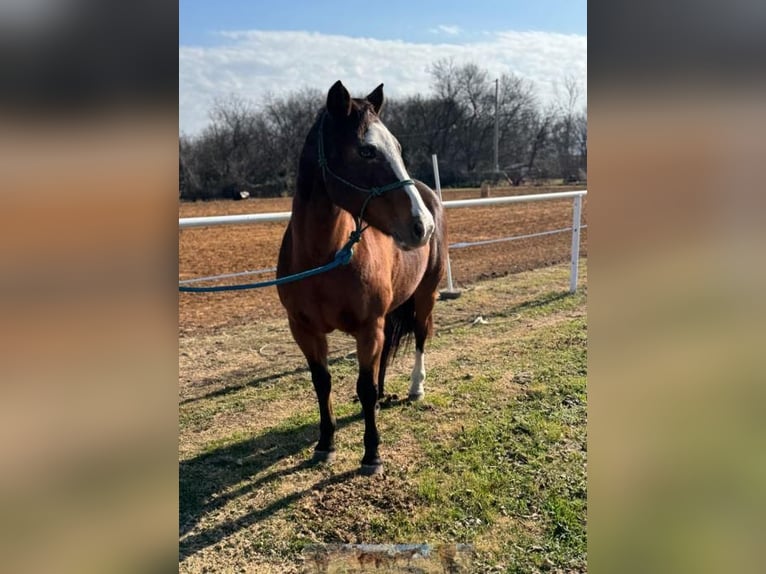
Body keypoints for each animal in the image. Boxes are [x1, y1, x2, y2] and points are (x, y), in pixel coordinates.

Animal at [276, 81, 448, 476]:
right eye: (367, 150)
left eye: (397, 148)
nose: (422, 226)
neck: (324, 259)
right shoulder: (303, 330)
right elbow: (322, 383)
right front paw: (325, 444)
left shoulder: (369, 327)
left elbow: (363, 387)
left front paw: (372, 454)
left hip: (425, 296)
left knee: (419, 335)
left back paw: (415, 388)